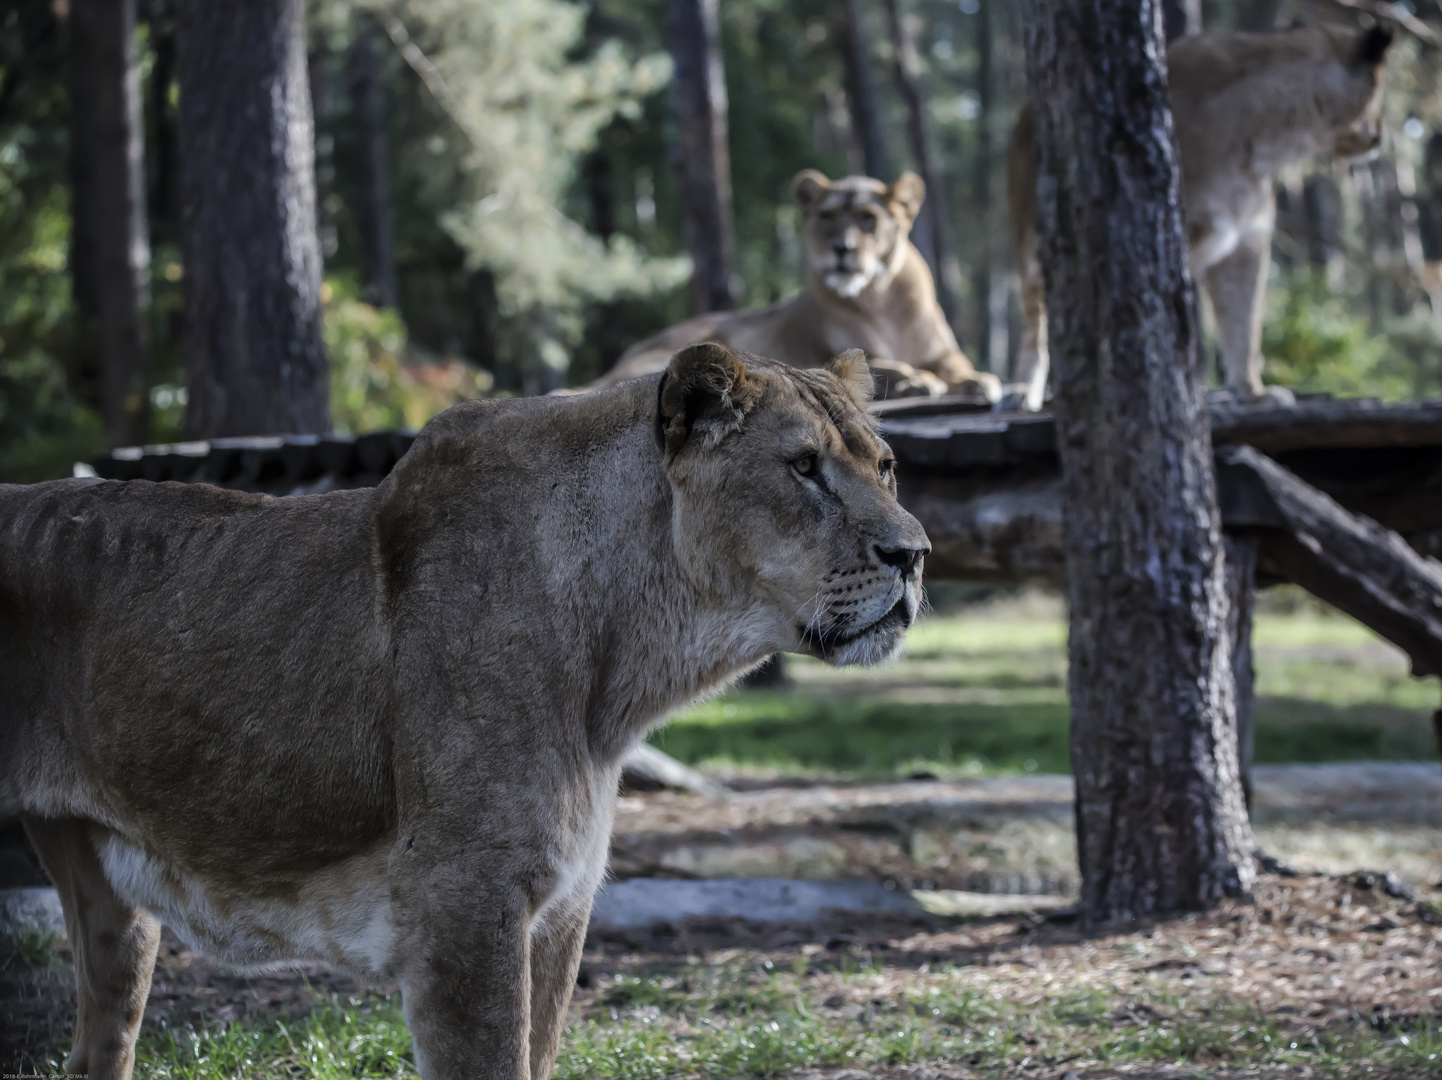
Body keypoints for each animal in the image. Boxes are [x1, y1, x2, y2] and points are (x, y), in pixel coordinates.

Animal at [0, 346, 928, 1078]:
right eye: (803, 467)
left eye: (885, 467)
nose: (915, 555)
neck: (624, 668)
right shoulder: (462, 907)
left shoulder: (560, 912)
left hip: (111, 907)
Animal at [591, 173, 997, 400]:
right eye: (827, 217)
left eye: (868, 218)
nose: (842, 248)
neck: (881, 301)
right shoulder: (831, 355)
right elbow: (889, 366)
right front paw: (918, 381)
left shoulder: (945, 354)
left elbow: (957, 367)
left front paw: (979, 380)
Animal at [1009, 25, 1390, 412]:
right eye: (1379, 97)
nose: (1380, 138)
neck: (1271, 138)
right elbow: (1152, 320)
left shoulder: (1247, 241)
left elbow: (1243, 323)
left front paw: (1252, 392)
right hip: (1033, 247)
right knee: (1036, 324)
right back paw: (1023, 391)